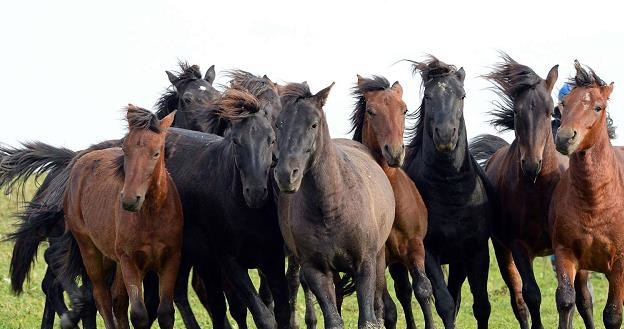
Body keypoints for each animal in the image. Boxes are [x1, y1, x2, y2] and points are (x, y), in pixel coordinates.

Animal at [62, 105, 180, 328]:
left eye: (156, 153)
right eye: (125, 149)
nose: (129, 200)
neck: (151, 216)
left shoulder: (171, 259)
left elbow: (165, 312)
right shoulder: (129, 262)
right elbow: (139, 314)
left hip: (111, 258)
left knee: (117, 300)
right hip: (90, 250)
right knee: (102, 297)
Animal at [274, 82, 394, 328]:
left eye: (313, 124)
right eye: (278, 124)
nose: (286, 175)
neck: (332, 207)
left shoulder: (365, 265)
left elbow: (368, 319)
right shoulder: (316, 271)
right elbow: (334, 320)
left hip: (378, 259)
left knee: (378, 306)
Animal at [348, 75, 432, 328]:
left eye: (404, 110)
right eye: (371, 111)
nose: (394, 152)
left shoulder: (415, 246)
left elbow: (423, 290)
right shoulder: (378, 258)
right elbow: (387, 308)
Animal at [402, 56, 494, 328]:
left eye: (462, 95)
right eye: (428, 96)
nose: (444, 135)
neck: (451, 192)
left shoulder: (475, 250)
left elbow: (480, 305)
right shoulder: (428, 251)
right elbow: (444, 303)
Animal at [552, 59, 620, 328]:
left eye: (598, 107)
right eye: (563, 104)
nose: (564, 138)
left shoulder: (619, 266)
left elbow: (613, 314)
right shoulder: (566, 254)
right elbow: (567, 301)